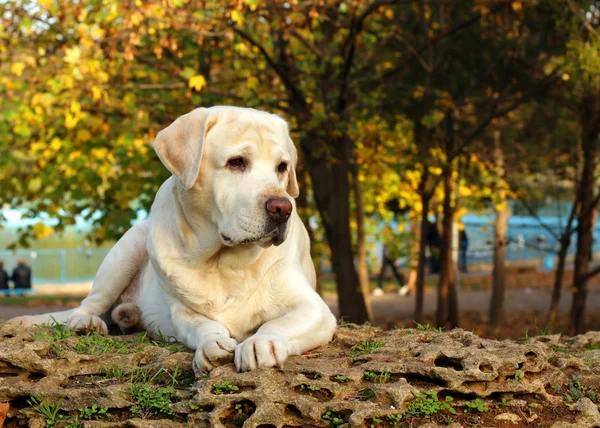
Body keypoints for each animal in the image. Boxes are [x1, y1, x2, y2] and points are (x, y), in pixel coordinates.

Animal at [8, 106, 338, 372]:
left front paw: (260, 342)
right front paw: (214, 344)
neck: (222, 262)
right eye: (236, 162)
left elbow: (278, 322)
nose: (282, 208)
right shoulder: (182, 312)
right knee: (87, 305)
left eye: (282, 167)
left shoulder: (314, 308)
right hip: (124, 252)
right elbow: (203, 325)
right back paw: (87, 323)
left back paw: (128, 315)